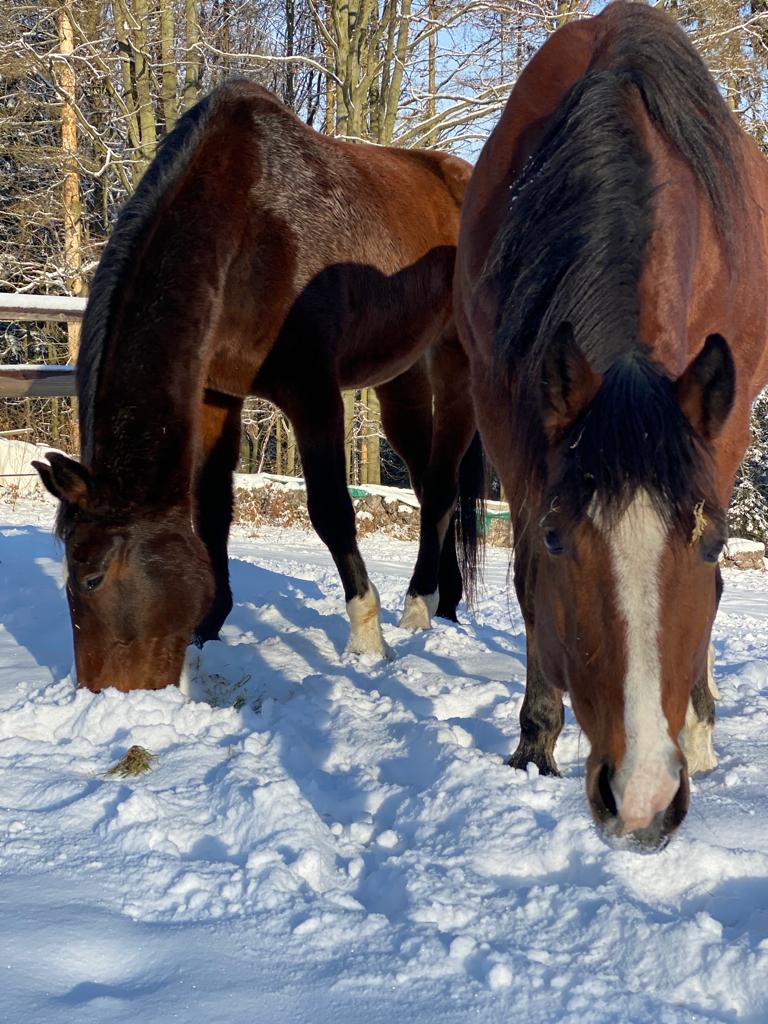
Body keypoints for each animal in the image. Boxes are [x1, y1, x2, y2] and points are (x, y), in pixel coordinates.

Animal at [33, 80, 479, 693]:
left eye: (91, 579)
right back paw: (445, 602)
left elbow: (330, 509)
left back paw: (416, 607)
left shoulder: (313, 393)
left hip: (456, 364)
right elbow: (214, 509)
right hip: (400, 377)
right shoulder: (216, 395)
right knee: (437, 484)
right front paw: (208, 629)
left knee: (439, 486)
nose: (106, 696)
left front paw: (367, 639)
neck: (252, 228)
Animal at [454, 1, 768, 847]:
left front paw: (694, 723)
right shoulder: (512, 425)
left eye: (710, 541)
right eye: (565, 538)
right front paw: (534, 744)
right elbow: (529, 580)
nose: (642, 799)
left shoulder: (720, 428)